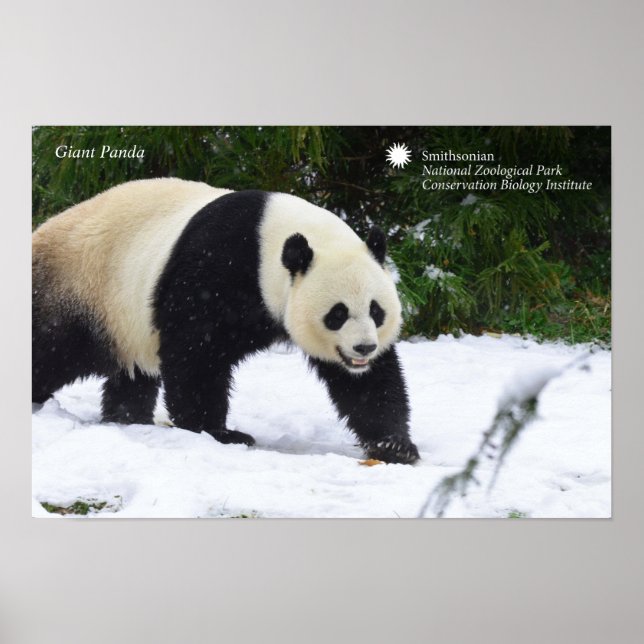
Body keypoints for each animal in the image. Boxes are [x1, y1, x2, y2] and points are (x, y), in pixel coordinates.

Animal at [32, 178, 419, 464]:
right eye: (337, 313)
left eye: (376, 311)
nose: (363, 348)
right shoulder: (216, 266)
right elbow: (196, 353)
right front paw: (218, 433)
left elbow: (368, 384)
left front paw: (394, 445)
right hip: (82, 289)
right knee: (52, 348)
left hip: (126, 321)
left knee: (131, 375)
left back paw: (128, 417)